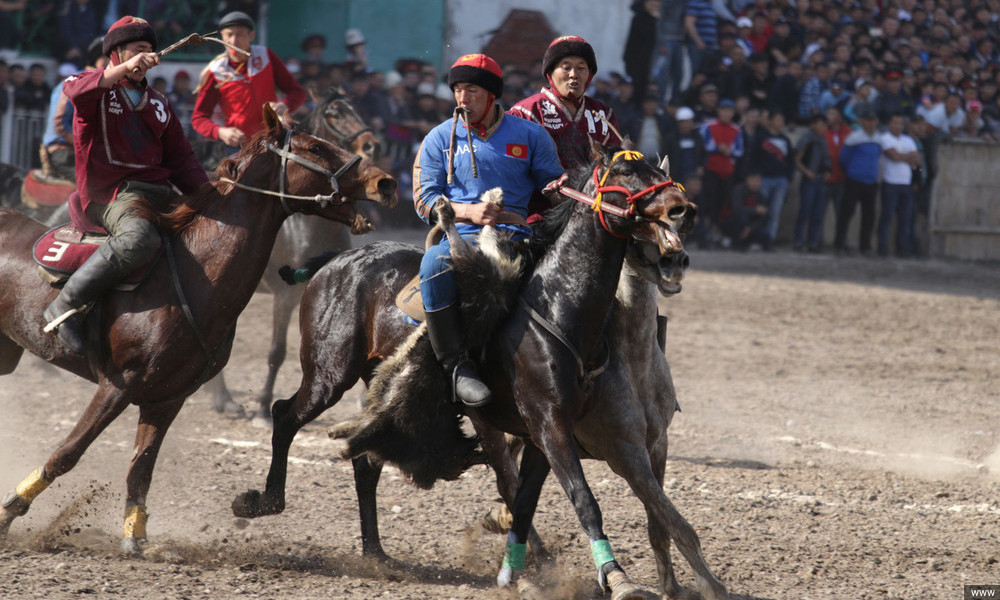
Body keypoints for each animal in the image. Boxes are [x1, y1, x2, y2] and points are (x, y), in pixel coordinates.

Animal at [0, 106, 398, 552]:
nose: (384, 181)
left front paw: (134, 537)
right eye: (314, 146)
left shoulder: (166, 398)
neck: (191, 278)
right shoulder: (118, 385)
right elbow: (67, 453)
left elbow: (141, 469)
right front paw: (10, 511)